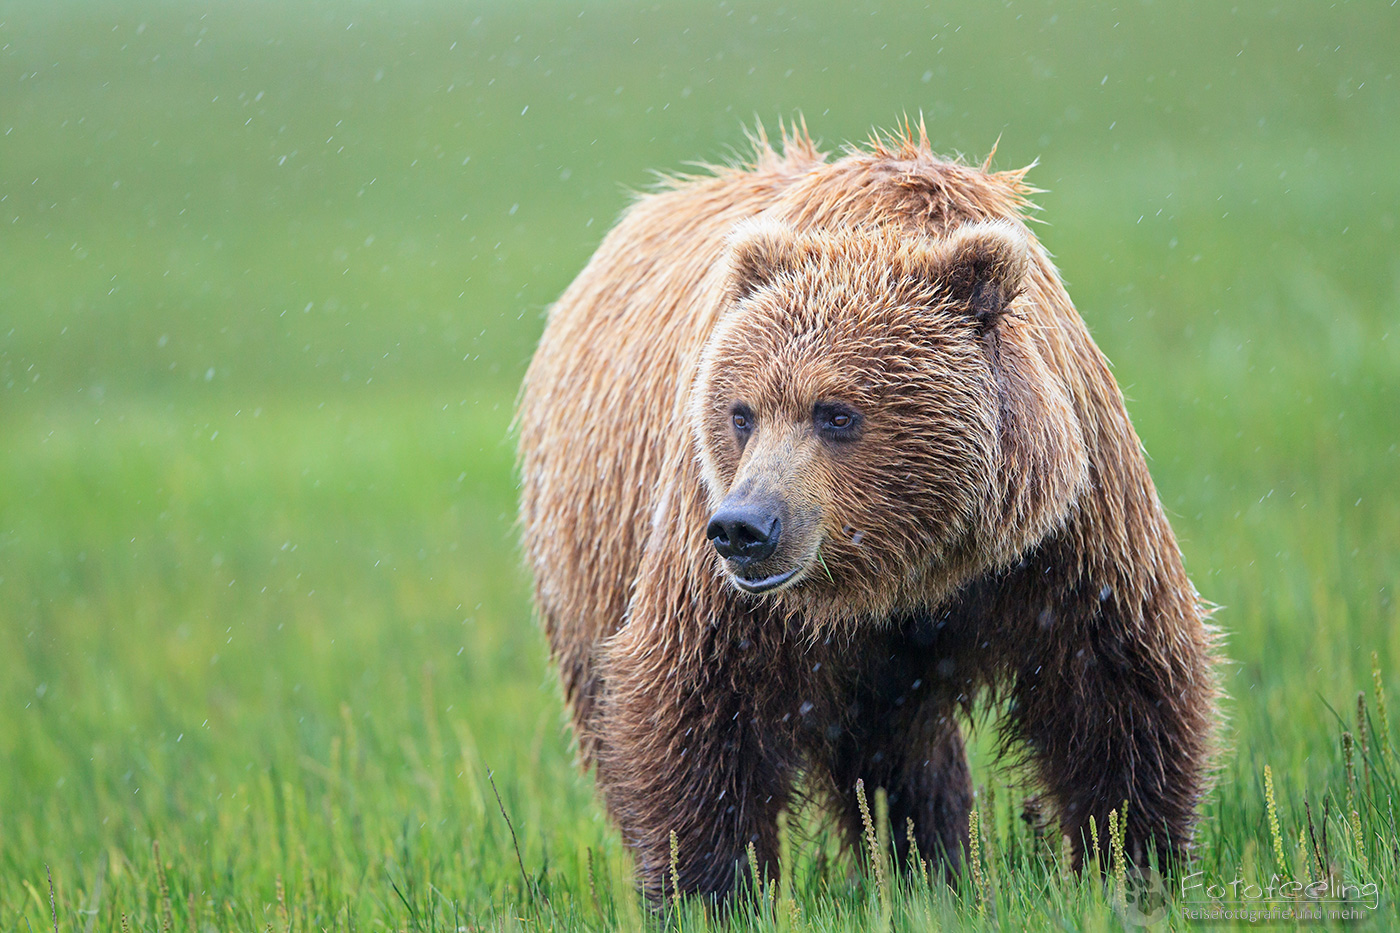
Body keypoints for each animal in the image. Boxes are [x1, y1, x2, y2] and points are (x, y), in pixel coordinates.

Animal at [516, 122, 1220, 903]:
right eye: (741, 412)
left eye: (837, 413)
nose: (746, 528)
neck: (907, 565)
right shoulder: (721, 574)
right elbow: (699, 703)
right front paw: (714, 888)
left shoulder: (1064, 532)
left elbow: (1116, 683)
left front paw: (1137, 864)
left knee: (899, 748)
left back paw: (930, 865)